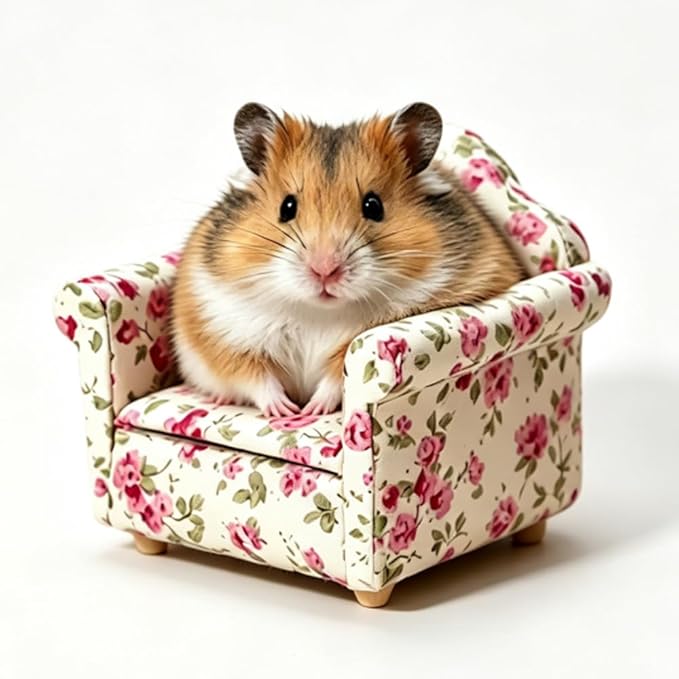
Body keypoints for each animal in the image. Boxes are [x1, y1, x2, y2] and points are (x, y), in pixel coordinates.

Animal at [171, 102, 523, 417]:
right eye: (287, 207)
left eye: (373, 205)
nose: (325, 270)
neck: (318, 313)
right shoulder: (222, 330)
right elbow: (255, 376)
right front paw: (285, 412)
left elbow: (334, 380)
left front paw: (310, 410)